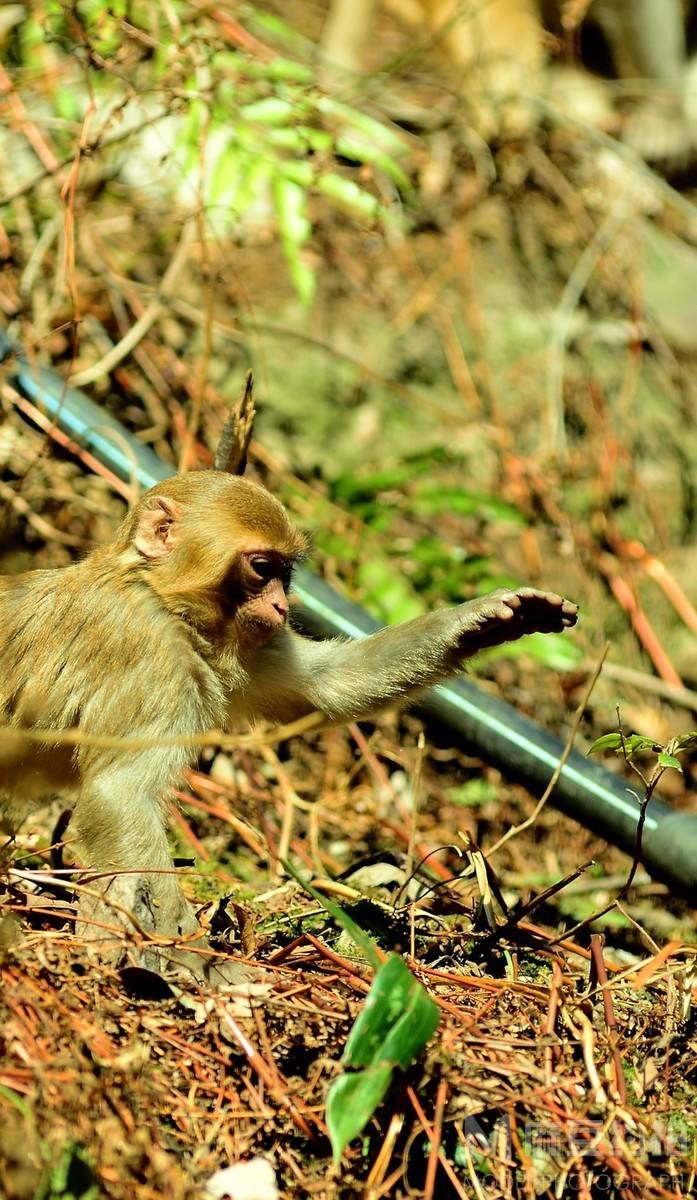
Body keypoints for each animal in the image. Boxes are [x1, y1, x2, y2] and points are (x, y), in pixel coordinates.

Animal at [0, 463, 575, 979]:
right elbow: (121, 794)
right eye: (262, 567)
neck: (161, 597)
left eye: (286, 573)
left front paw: (482, 621)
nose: (281, 605)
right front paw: (197, 959)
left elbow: (325, 686)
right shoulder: (148, 650)